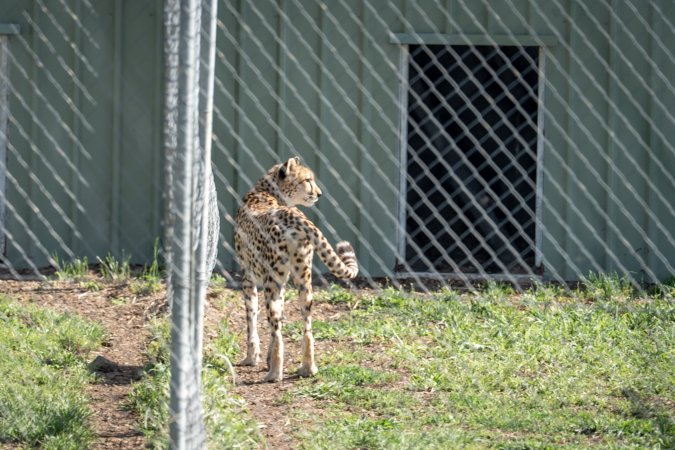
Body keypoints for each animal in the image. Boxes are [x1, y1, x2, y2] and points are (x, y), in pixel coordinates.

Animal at [234, 156, 358, 382]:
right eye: (307, 180)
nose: (319, 193)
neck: (269, 192)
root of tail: (292, 215)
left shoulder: (249, 277)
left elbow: (251, 319)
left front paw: (252, 357)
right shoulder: (280, 283)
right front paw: (265, 358)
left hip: (271, 283)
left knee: (276, 329)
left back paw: (275, 373)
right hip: (302, 278)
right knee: (307, 325)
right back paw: (308, 368)